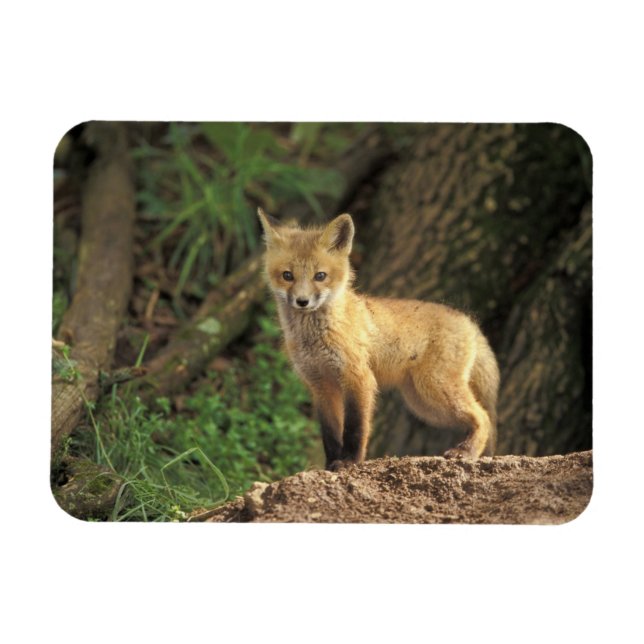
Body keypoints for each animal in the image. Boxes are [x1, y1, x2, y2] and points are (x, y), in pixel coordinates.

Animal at [257, 208, 500, 471]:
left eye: (320, 276)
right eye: (287, 276)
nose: (302, 301)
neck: (315, 338)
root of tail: (468, 320)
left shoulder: (359, 378)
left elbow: (355, 428)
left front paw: (350, 461)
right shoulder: (321, 386)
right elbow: (330, 433)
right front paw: (330, 464)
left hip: (435, 389)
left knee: (484, 417)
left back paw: (467, 451)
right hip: (424, 405)